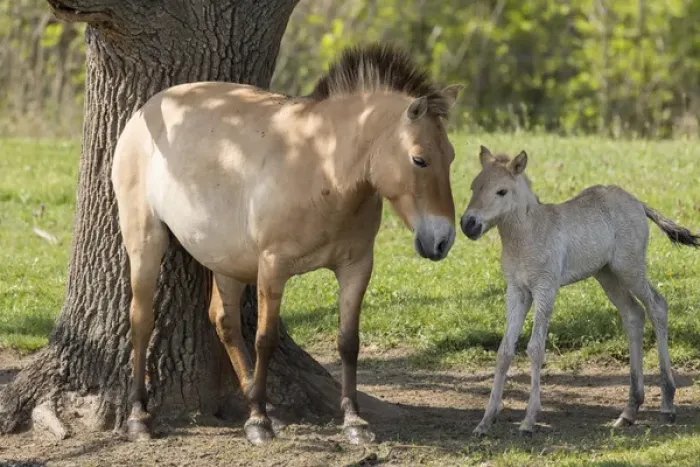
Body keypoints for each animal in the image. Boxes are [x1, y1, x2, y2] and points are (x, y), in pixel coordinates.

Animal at [111, 43, 463, 445]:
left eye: (451, 156)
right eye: (419, 159)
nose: (442, 240)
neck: (322, 165)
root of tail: (145, 111)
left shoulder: (357, 266)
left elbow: (348, 341)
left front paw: (353, 421)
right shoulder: (273, 266)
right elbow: (265, 339)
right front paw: (258, 422)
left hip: (226, 260)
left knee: (224, 321)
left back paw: (261, 404)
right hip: (145, 240)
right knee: (142, 319)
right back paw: (140, 416)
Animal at [460, 146, 699, 437]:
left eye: (501, 191)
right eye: (474, 187)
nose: (468, 224)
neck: (528, 236)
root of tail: (638, 203)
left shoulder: (546, 288)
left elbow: (535, 348)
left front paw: (529, 420)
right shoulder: (516, 291)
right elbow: (505, 351)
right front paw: (485, 421)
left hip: (629, 268)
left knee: (657, 306)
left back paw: (667, 405)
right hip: (607, 274)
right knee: (633, 314)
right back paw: (629, 411)